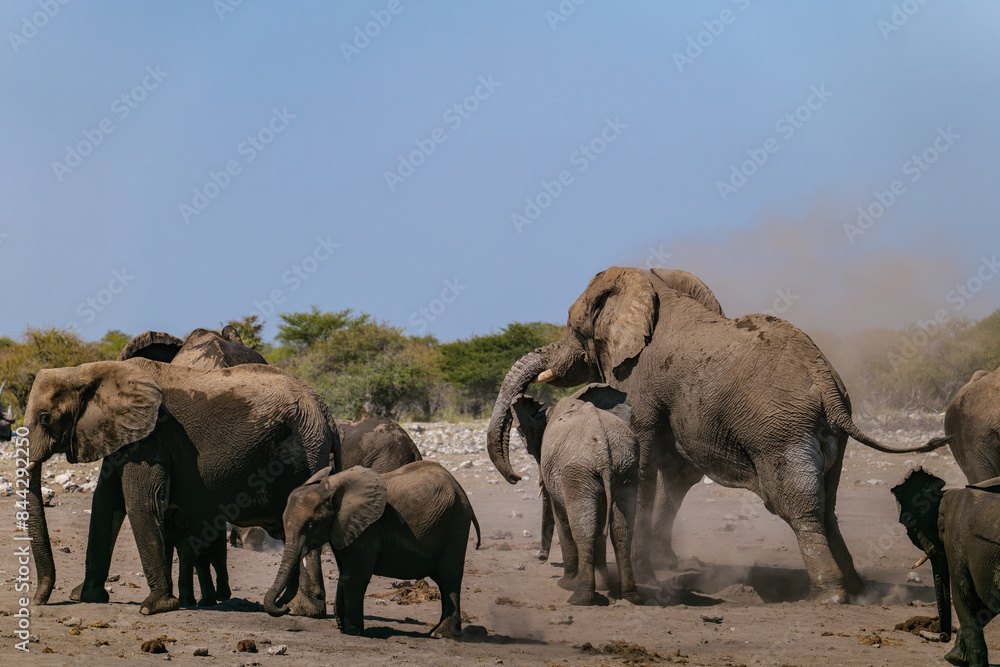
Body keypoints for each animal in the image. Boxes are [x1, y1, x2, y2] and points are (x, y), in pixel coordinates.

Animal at [24, 357, 340, 616]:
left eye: (45, 418)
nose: (39, 601)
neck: (89, 370)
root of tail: (327, 414)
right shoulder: (120, 433)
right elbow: (105, 502)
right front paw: (85, 596)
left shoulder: (151, 437)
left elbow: (141, 502)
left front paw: (154, 607)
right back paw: (299, 607)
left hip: (308, 449)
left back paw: (303, 609)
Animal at [264, 461, 481, 638]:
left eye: (310, 525)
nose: (286, 607)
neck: (328, 488)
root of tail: (462, 491)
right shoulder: (344, 529)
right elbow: (345, 573)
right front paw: (342, 627)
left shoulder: (367, 530)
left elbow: (356, 575)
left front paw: (353, 632)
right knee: (446, 582)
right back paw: (440, 632)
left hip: (455, 526)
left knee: (449, 580)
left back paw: (441, 634)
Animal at [511, 383, 642, 606]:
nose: (541, 557)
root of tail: (604, 453)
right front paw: (603, 584)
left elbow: (561, 519)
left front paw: (565, 583)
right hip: (625, 468)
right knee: (621, 530)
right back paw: (630, 596)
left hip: (578, 473)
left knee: (583, 529)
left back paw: (579, 597)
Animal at [892, 467, 1000, 667]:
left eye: (909, 522)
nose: (942, 636)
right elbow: (985, 605)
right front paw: (955, 658)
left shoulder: (955, 540)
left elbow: (965, 598)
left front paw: (956, 660)